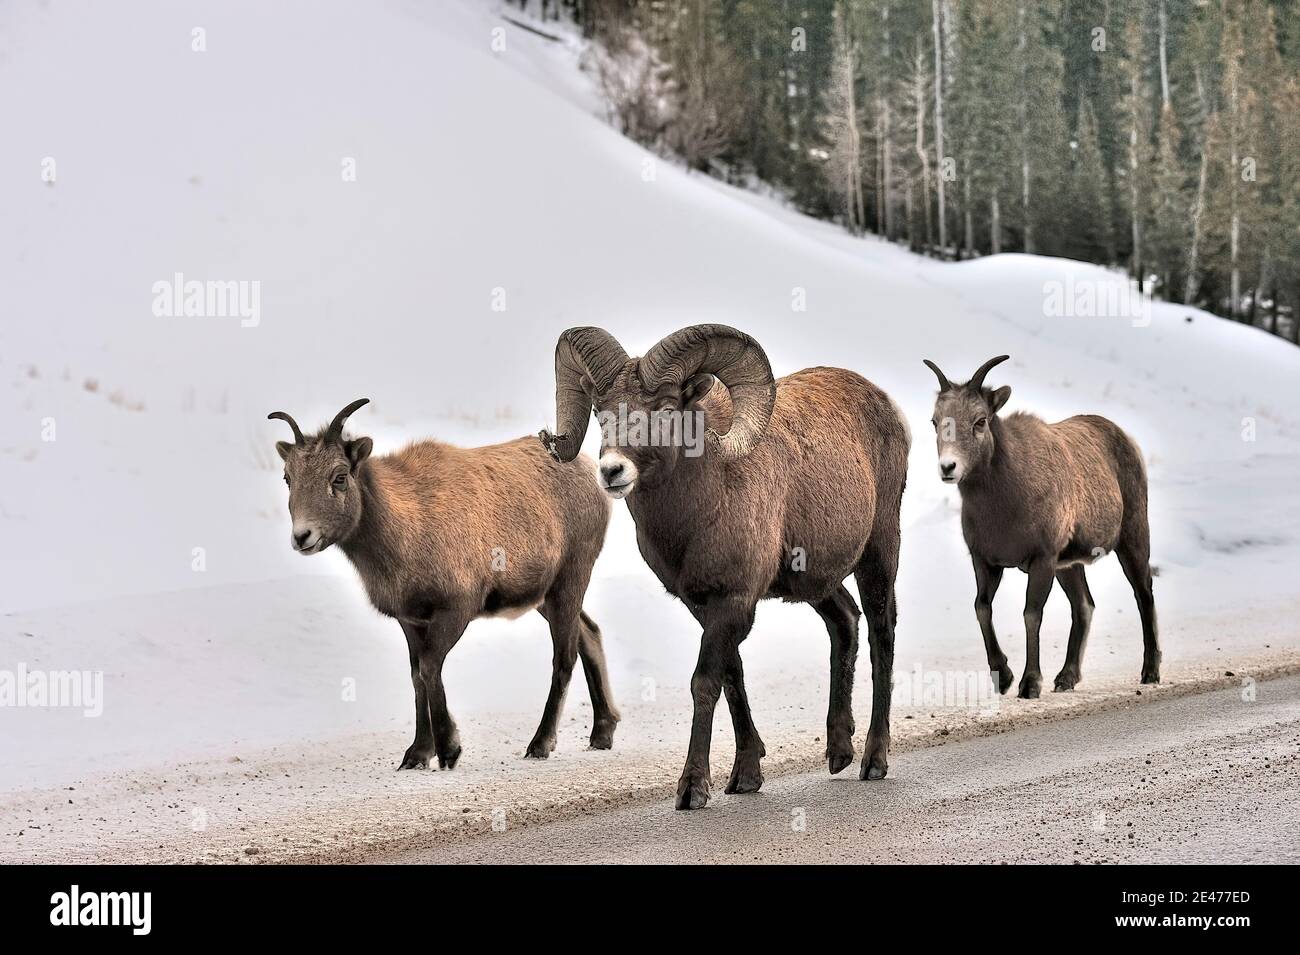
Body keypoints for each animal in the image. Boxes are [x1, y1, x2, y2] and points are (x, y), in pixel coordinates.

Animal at [267, 397, 618, 769]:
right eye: (288, 478)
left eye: (339, 476)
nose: (303, 536)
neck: (405, 530)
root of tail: (590, 473)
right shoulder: (411, 620)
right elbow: (417, 676)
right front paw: (417, 754)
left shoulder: (455, 609)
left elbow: (430, 668)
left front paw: (449, 749)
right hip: (546, 598)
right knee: (589, 633)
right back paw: (602, 733)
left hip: (570, 579)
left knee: (563, 657)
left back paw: (540, 744)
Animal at [535, 324, 904, 810]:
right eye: (600, 411)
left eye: (665, 408)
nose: (613, 471)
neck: (699, 508)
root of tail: (886, 404)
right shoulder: (704, 605)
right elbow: (733, 676)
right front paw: (746, 775)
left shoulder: (734, 601)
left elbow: (705, 682)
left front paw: (693, 789)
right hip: (817, 583)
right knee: (844, 622)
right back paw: (838, 752)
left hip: (879, 555)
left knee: (882, 636)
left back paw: (873, 761)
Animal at [920, 356, 1164, 696]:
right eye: (935, 421)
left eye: (980, 420)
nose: (948, 468)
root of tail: (1126, 438)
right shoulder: (985, 561)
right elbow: (982, 608)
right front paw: (1003, 677)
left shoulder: (1042, 560)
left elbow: (1031, 615)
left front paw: (1029, 683)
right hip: (1070, 565)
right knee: (1084, 606)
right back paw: (1066, 678)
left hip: (1132, 538)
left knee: (1144, 594)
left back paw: (1150, 671)